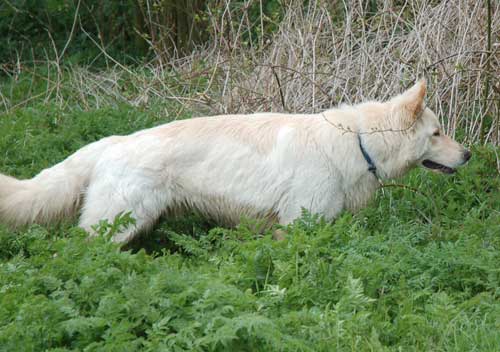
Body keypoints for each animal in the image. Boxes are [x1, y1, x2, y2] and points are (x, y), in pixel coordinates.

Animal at [0, 80, 470, 243]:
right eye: (437, 133)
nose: (468, 154)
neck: (356, 142)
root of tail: (111, 142)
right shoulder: (298, 224)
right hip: (115, 226)